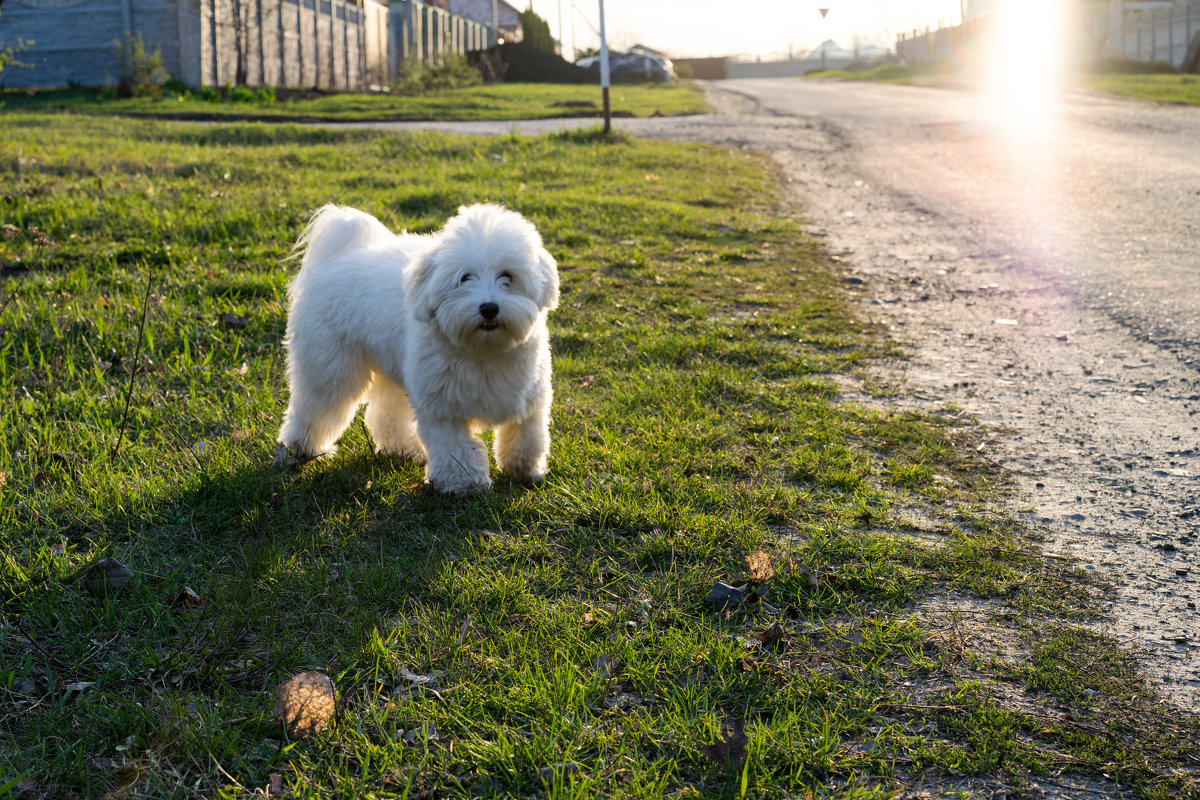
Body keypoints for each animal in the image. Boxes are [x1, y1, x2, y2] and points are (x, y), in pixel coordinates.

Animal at [278, 205, 559, 494]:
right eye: (465, 278)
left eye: (507, 276)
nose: (489, 308)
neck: (483, 351)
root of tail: (335, 260)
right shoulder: (444, 410)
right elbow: (456, 448)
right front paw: (464, 483)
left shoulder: (531, 397)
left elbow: (527, 436)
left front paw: (525, 470)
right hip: (329, 367)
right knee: (315, 406)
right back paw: (303, 447)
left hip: (392, 364)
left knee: (386, 412)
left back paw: (403, 448)